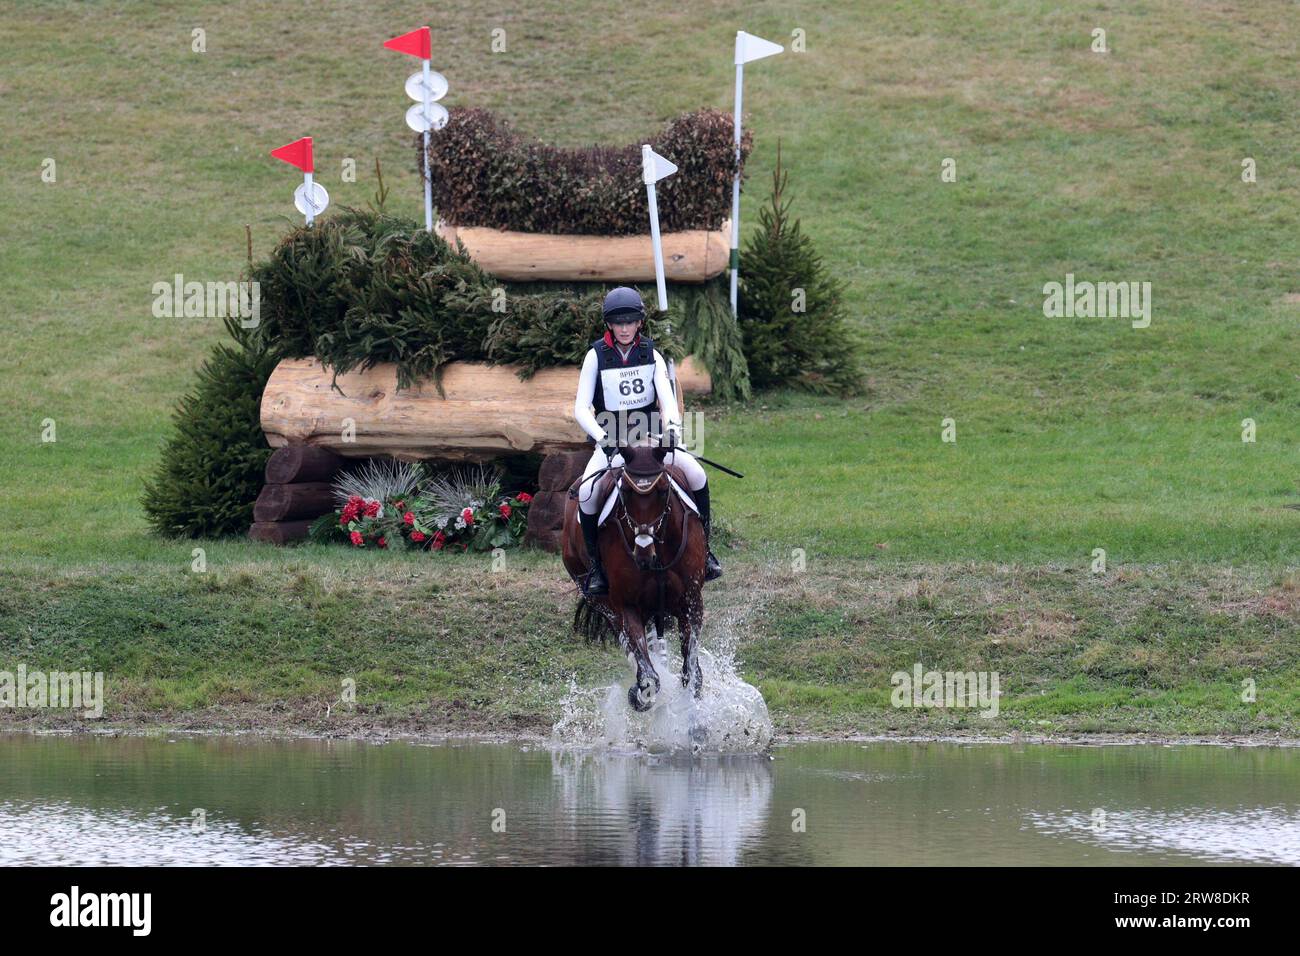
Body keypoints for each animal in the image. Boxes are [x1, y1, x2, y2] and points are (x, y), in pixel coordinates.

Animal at [559, 442, 707, 712]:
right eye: (626, 492)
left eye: (662, 490)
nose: (643, 555)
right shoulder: (628, 605)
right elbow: (649, 675)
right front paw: (639, 693)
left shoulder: (691, 601)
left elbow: (691, 670)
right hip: (600, 599)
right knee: (624, 639)